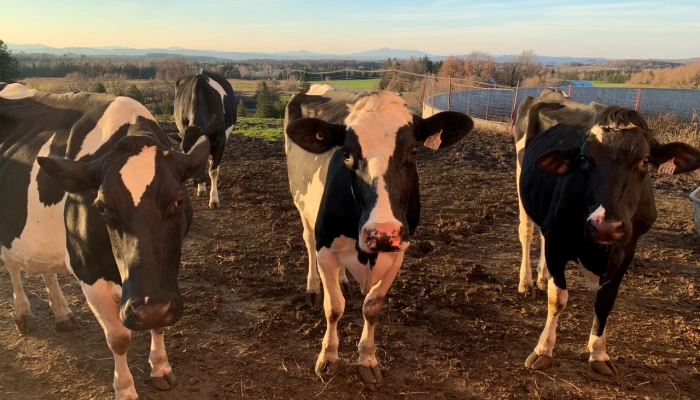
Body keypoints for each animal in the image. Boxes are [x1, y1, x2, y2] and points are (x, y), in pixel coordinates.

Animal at [0, 83, 210, 399]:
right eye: (101, 207)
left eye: (178, 200)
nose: (148, 308)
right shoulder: (89, 273)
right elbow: (118, 337)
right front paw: (124, 388)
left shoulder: (163, 280)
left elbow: (159, 325)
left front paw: (161, 368)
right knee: (12, 265)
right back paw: (23, 314)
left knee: (45, 268)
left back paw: (62, 314)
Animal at [171, 69, 236, 209]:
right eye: (184, 151)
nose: (195, 179)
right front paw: (201, 187)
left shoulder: (220, 141)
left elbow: (214, 171)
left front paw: (214, 199)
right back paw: (201, 188)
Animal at [284, 85, 473, 387]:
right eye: (346, 154)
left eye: (414, 150)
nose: (382, 233)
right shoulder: (326, 248)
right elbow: (334, 307)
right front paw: (328, 357)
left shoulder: (398, 252)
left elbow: (372, 308)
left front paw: (368, 360)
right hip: (303, 206)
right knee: (308, 240)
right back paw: (313, 287)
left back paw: (342, 279)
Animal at [518, 104, 700, 376]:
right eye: (584, 160)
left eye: (645, 160)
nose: (605, 226)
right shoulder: (557, 240)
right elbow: (557, 299)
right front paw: (543, 350)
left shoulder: (627, 249)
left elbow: (605, 301)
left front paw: (598, 353)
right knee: (527, 232)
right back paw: (526, 282)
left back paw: (542, 277)